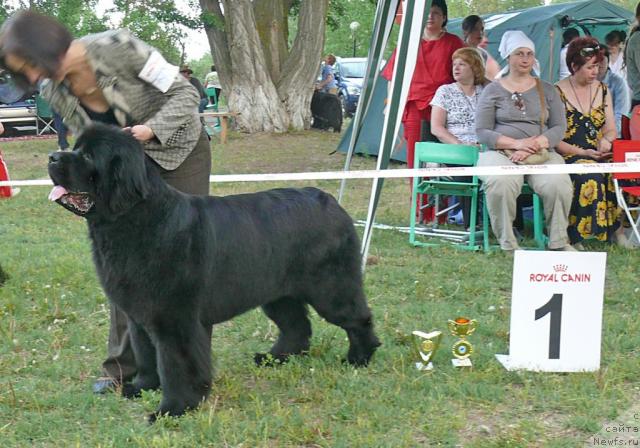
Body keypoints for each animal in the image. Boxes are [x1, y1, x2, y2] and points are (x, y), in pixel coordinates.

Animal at [50, 124, 382, 422]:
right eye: (75, 148)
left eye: (88, 156)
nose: (53, 156)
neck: (134, 219)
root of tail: (330, 201)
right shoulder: (139, 316)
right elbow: (146, 355)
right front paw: (141, 387)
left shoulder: (174, 320)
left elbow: (175, 365)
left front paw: (173, 408)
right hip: (276, 291)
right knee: (297, 326)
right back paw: (273, 358)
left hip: (330, 287)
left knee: (357, 318)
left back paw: (359, 358)